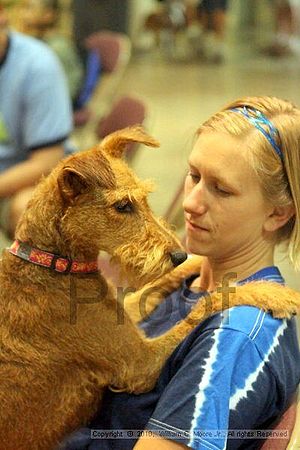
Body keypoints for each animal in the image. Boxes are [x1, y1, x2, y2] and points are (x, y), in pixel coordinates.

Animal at [0, 127, 298, 450]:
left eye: (144, 199)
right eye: (122, 206)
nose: (178, 253)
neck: (52, 263)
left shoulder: (124, 316)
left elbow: (153, 288)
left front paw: (193, 262)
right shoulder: (141, 363)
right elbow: (207, 303)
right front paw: (271, 293)